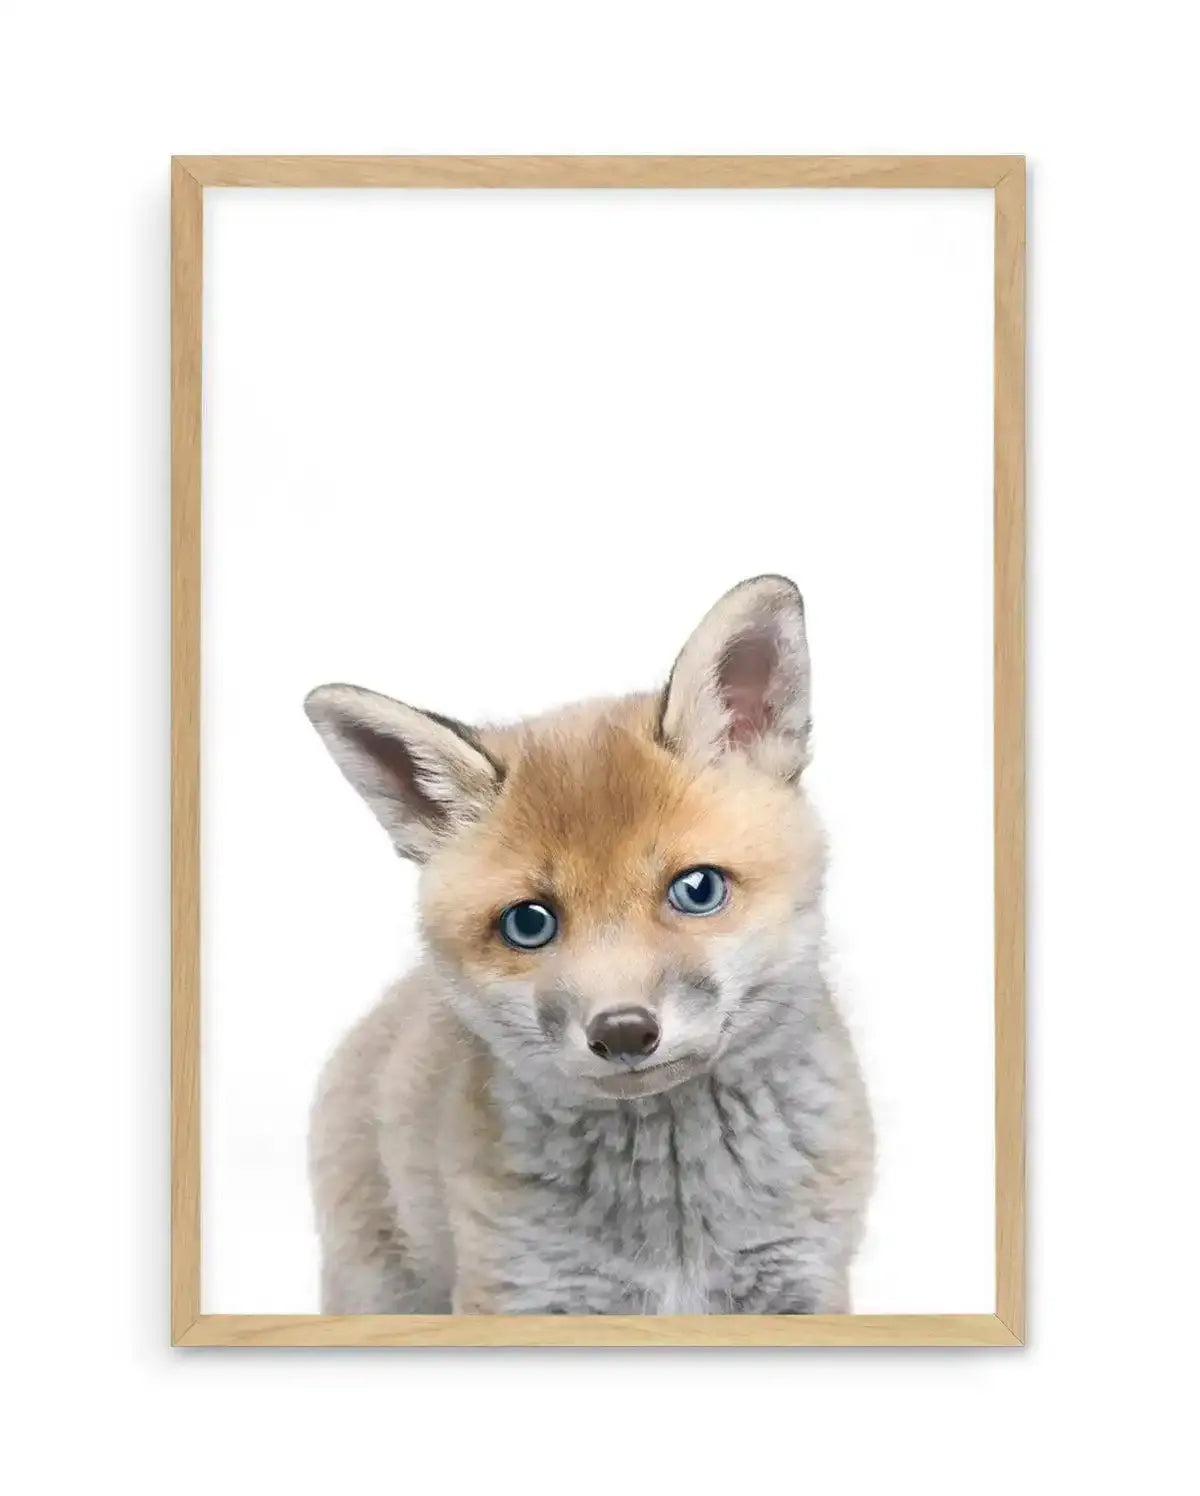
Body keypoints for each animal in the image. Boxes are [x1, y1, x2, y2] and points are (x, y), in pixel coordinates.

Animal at [304, 575, 873, 1315]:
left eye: (697, 889)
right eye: (529, 923)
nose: (624, 1031)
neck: (676, 1228)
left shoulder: (802, 1280)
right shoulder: (522, 1290)